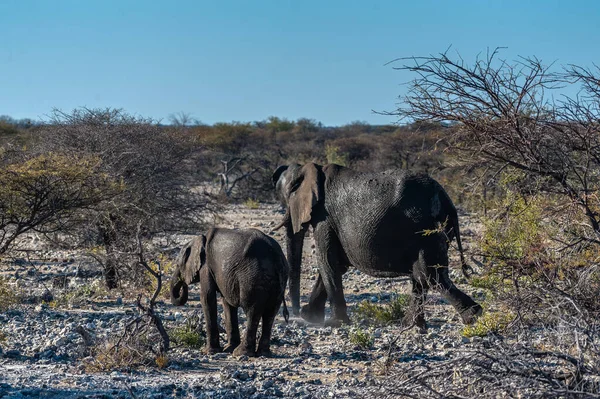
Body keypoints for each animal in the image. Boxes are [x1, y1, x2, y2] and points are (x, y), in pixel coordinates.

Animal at [170, 230, 290, 358]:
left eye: (177, 264)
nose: (183, 283)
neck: (199, 239)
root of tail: (275, 256)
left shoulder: (206, 266)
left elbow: (207, 297)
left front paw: (209, 351)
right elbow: (227, 303)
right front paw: (227, 348)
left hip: (252, 278)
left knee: (252, 312)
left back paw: (240, 353)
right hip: (278, 279)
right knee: (270, 314)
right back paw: (263, 353)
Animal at [272, 163, 482, 332]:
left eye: (289, 197)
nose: (294, 313)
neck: (313, 169)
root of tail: (446, 199)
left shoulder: (325, 218)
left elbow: (327, 261)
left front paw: (333, 323)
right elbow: (337, 264)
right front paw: (311, 317)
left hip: (424, 229)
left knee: (430, 276)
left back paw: (472, 317)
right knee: (422, 277)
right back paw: (411, 326)